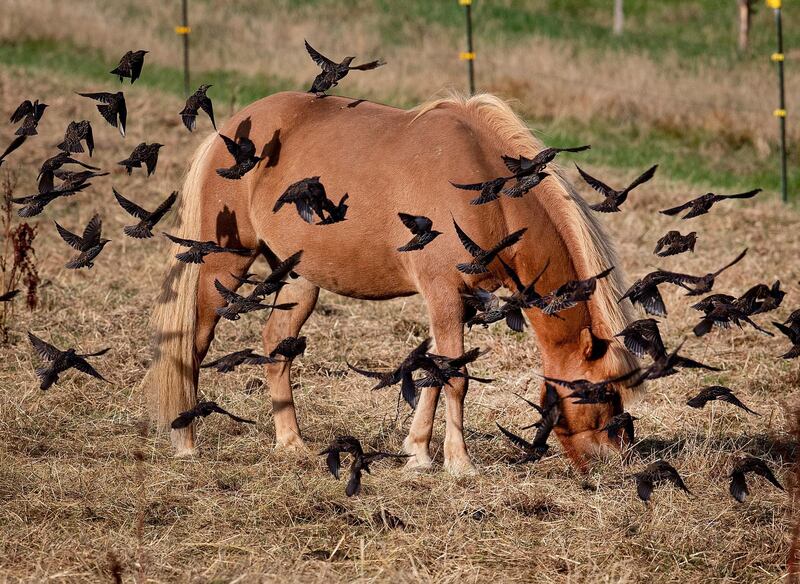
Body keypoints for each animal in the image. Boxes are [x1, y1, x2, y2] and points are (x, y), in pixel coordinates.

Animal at [144, 90, 640, 474]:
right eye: (603, 392)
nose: (616, 461)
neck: (489, 192)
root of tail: (226, 131)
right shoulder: (443, 295)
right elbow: (455, 376)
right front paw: (459, 464)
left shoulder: (458, 303)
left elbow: (434, 371)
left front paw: (417, 453)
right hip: (223, 267)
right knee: (193, 344)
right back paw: (186, 442)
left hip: (299, 278)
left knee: (276, 346)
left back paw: (291, 442)